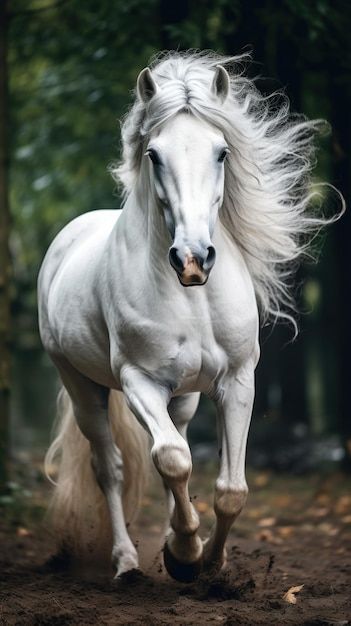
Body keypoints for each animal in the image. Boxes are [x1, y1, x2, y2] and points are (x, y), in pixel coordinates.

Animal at [37, 50, 340, 580]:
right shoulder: (140, 381)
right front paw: (184, 555)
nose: (193, 259)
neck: (193, 299)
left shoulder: (237, 381)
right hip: (82, 386)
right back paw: (128, 562)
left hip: (182, 399)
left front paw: (208, 564)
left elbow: (230, 489)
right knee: (112, 468)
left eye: (221, 152)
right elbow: (175, 460)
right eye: (154, 155)